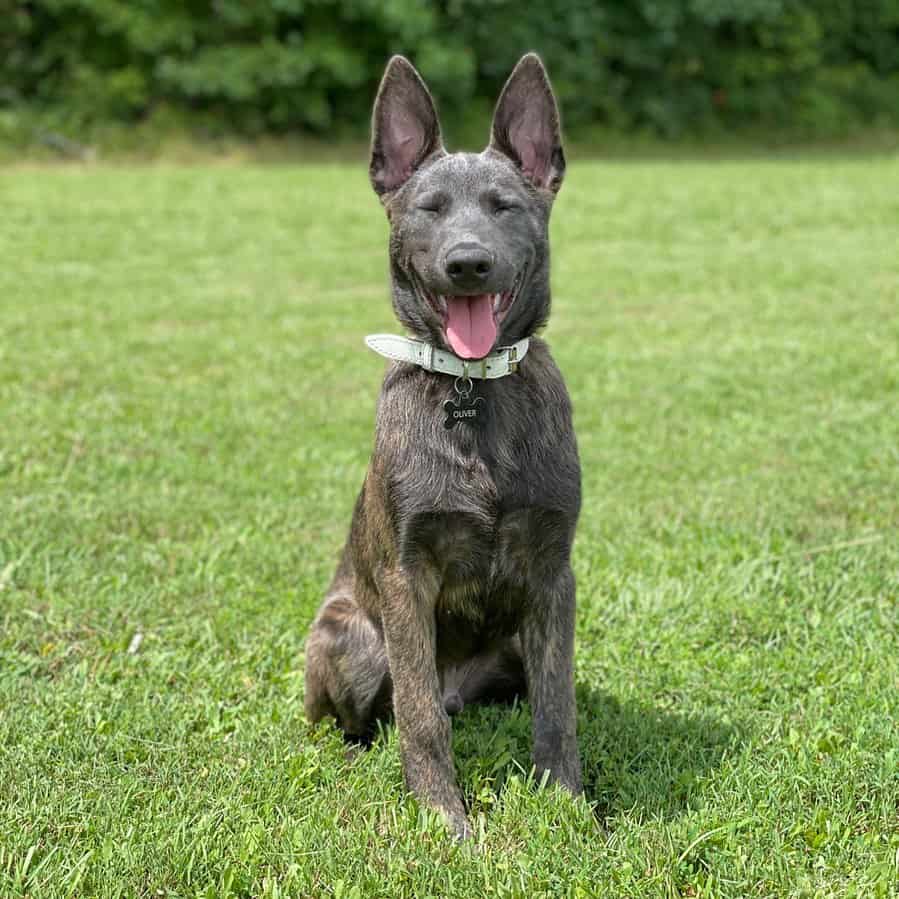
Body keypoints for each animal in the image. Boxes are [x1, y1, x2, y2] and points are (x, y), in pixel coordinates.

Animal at [304, 52, 584, 840]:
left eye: (502, 205)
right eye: (428, 208)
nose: (467, 264)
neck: (472, 389)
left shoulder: (553, 577)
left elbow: (558, 708)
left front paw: (567, 805)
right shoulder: (408, 580)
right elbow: (421, 717)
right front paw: (443, 821)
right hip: (351, 639)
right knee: (372, 716)